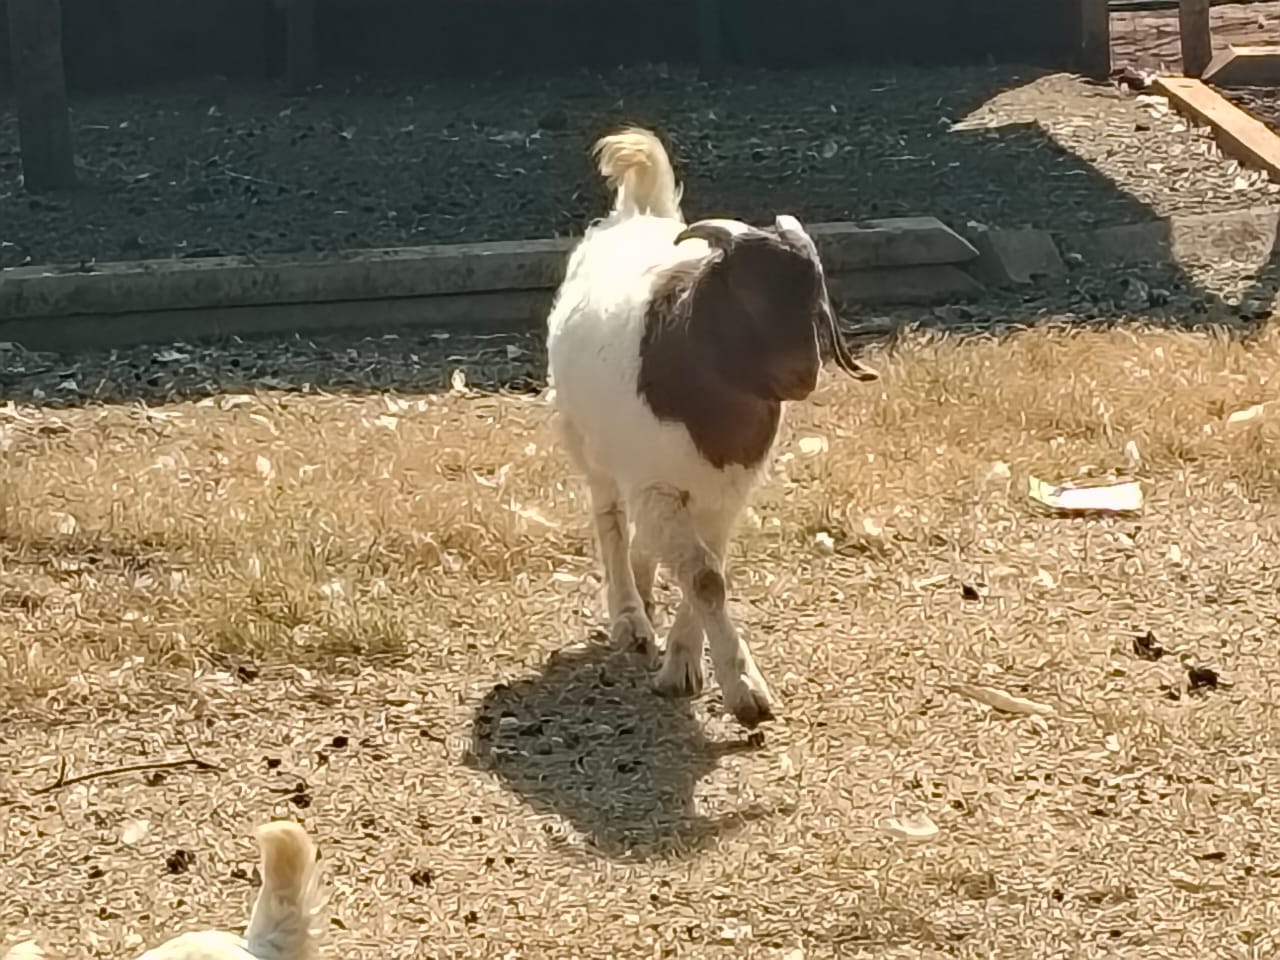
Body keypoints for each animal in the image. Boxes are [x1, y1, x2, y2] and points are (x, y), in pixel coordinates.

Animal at [545, 126, 878, 728]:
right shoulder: (657, 483)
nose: (804, 372)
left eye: (814, 292)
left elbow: (707, 570)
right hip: (588, 445)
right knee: (610, 519)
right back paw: (629, 616)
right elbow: (703, 576)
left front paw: (685, 664)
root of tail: (637, 214)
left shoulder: (726, 491)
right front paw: (744, 690)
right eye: (745, 293)